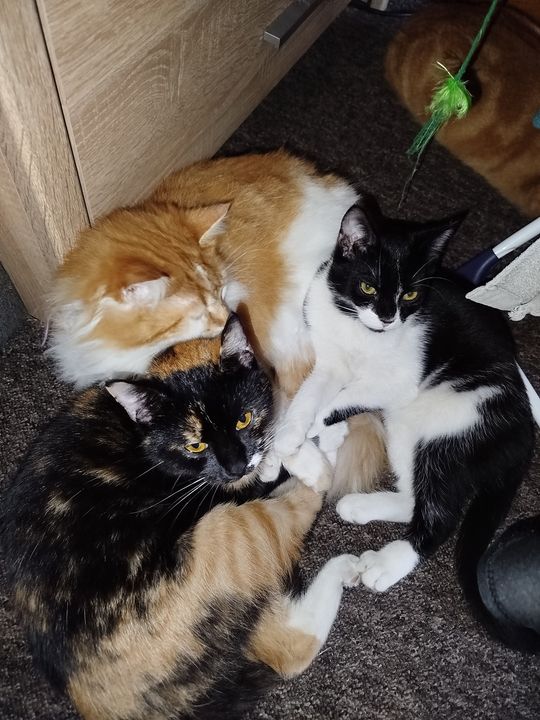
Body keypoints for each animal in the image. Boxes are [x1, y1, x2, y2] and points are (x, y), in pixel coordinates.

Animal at [2, 314, 364, 720]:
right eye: (195, 445)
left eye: (244, 419)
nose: (236, 465)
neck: (143, 442)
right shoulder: (220, 489)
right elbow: (273, 460)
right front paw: (302, 453)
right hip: (231, 532)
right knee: (289, 646)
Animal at [274, 198, 537, 646]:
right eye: (367, 287)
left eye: (411, 294)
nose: (387, 318)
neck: (360, 331)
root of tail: (522, 435)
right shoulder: (330, 360)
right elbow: (312, 394)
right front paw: (293, 436)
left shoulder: (399, 382)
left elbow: (342, 400)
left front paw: (321, 433)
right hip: (406, 428)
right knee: (415, 496)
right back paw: (360, 506)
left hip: (451, 422)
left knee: (441, 513)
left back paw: (388, 563)